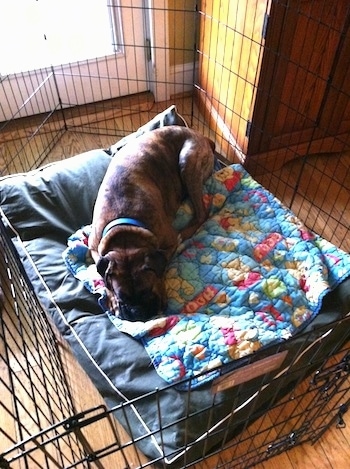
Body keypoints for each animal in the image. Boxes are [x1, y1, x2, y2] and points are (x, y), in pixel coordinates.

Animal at [89, 124, 215, 322]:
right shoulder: (94, 248)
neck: (125, 230)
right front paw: (112, 299)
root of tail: (202, 136)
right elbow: (102, 274)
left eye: (147, 290)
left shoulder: (168, 243)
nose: (137, 312)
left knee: (202, 213)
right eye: (122, 297)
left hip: (187, 161)